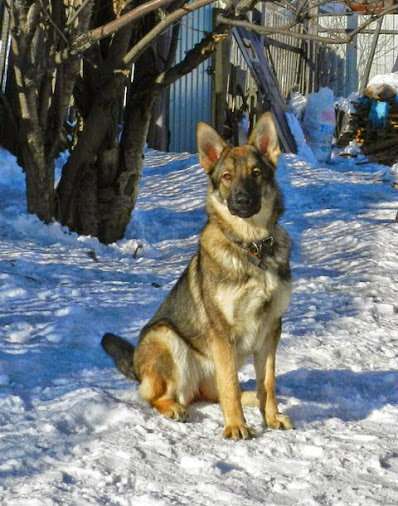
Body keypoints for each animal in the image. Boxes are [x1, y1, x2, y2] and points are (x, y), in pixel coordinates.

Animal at [102, 112, 292, 436]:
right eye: (227, 177)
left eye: (256, 173)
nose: (241, 201)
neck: (252, 248)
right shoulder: (223, 333)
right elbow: (230, 386)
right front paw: (236, 426)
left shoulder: (270, 330)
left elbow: (268, 382)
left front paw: (272, 416)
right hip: (165, 336)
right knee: (159, 395)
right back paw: (174, 407)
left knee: (221, 392)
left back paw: (252, 397)